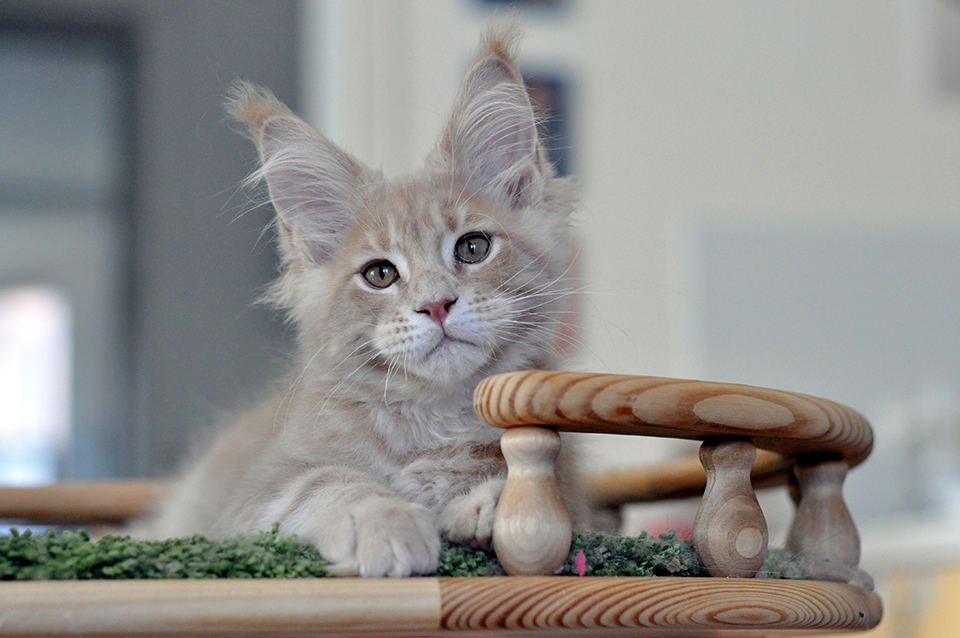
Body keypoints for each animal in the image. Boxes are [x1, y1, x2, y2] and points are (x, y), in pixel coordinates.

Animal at [138, 25, 580, 576]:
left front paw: (486, 503)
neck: (431, 422)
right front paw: (389, 521)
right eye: (380, 274)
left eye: (473, 248)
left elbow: (539, 488)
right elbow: (330, 483)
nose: (436, 305)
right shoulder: (254, 496)